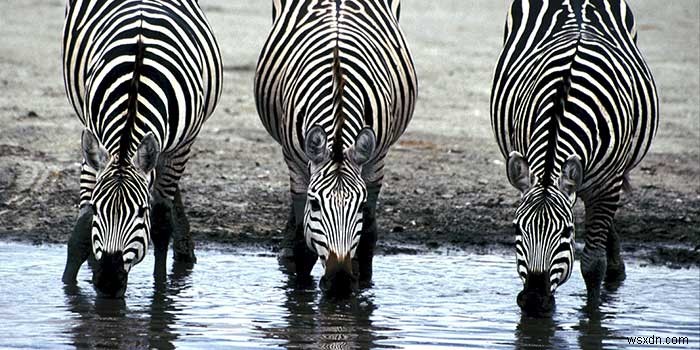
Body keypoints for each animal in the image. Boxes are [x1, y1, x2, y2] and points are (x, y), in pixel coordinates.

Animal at [62, 0, 223, 298]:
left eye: (140, 212)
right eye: (99, 209)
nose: (108, 282)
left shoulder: (179, 149)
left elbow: (160, 222)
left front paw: (161, 292)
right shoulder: (93, 144)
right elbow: (81, 228)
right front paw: (69, 286)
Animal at [252, 0, 416, 296]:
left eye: (359, 206)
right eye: (315, 204)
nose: (339, 281)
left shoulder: (376, 160)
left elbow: (368, 233)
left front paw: (364, 283)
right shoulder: (295, 162)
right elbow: (302, 239)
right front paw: (300, 285)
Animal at [490, 0, 660, 314]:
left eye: (567, 233)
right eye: (517, 228)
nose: (533, 301)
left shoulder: (607, 184)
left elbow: (593, 264)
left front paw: (592, 314)